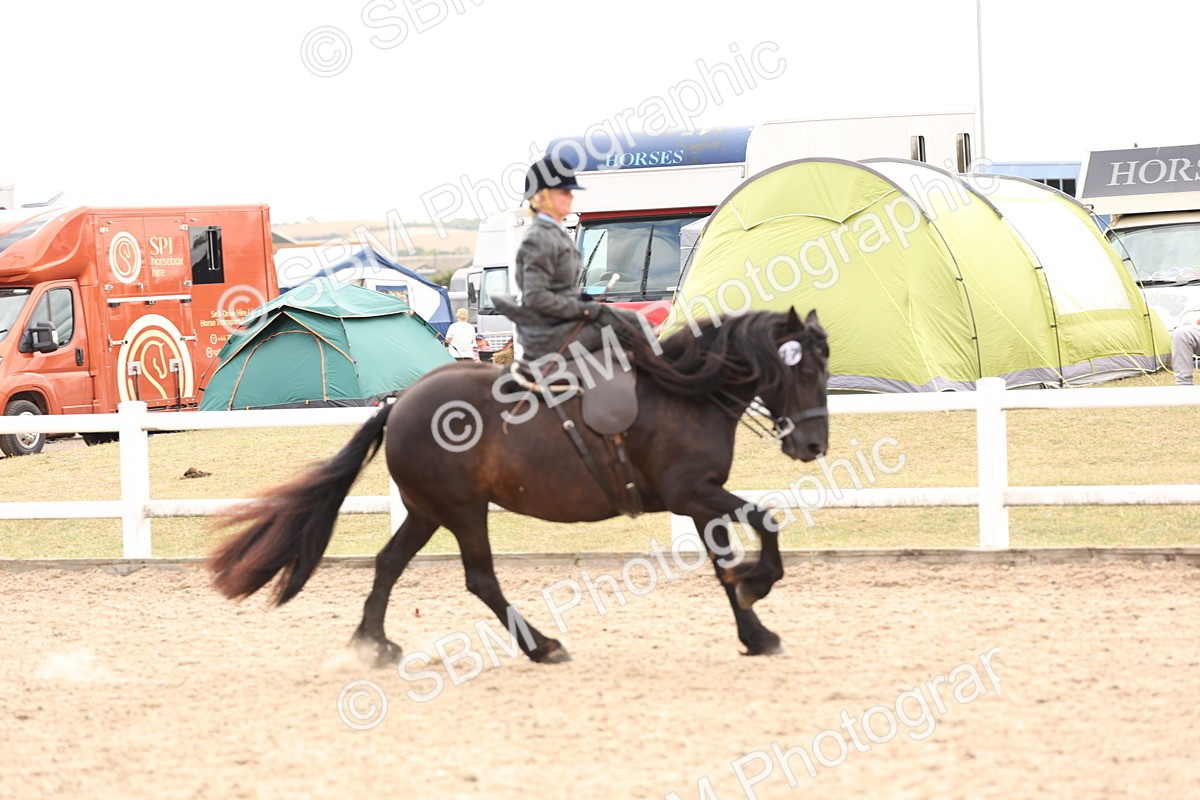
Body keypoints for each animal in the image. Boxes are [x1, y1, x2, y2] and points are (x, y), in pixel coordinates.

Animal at [208, 307, 829, 665]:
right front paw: (759, 586)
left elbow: (725, 566)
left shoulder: (701, 500)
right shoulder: (691, 494)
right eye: (802, 369)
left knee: (388, 563)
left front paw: (755, 630)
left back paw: (373, 645)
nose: (813, 447)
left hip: (426, 511)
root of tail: (400, 404)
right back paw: (541, 645)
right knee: (480, 579)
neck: (685, 393)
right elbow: (767, 521)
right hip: (463, 510)